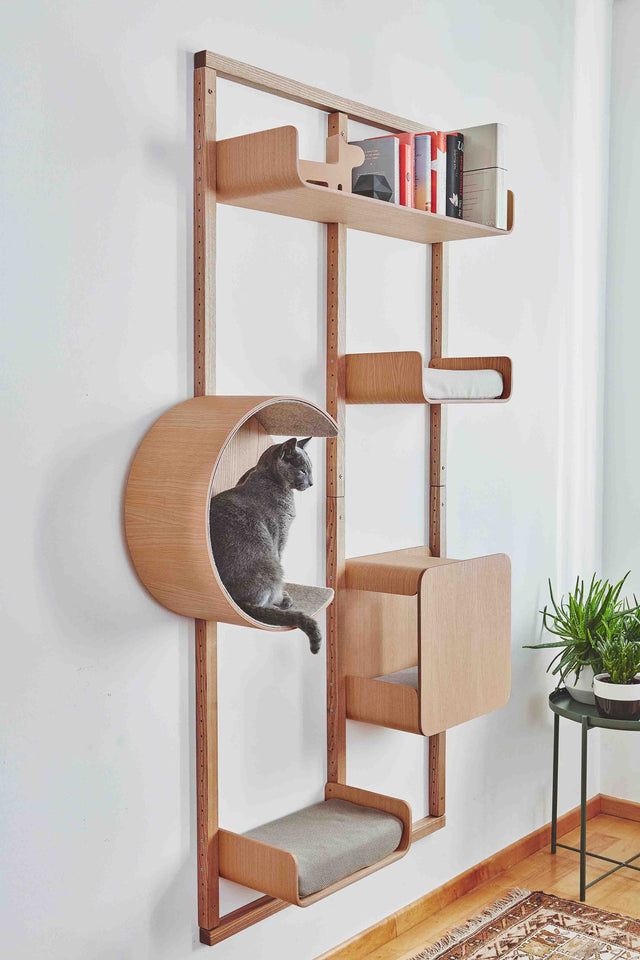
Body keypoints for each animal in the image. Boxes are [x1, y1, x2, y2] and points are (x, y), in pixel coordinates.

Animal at [210, 436, 322, 652]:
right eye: (303, 470)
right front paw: (283, 595)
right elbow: (280, 555)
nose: (312, 483)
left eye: (311, 470)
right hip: (270, 563)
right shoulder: (280, 534)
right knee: (265, 598)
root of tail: (235, 600)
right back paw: (282, 600)